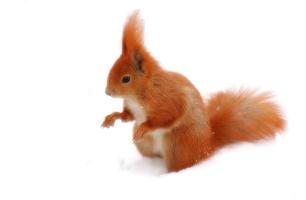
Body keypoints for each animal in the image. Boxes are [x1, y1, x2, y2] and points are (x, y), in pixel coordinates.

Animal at [101, 11, 286, 172]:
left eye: (126, 79)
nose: (107, 92)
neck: (139, 93)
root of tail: (206, 146)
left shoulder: (167, 99)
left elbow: (168, 115)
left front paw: (144, 127)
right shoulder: (131, 107)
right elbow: (128, 116)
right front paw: (112, 117)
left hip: (177, 144)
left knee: (180, 166)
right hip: (146, 146)